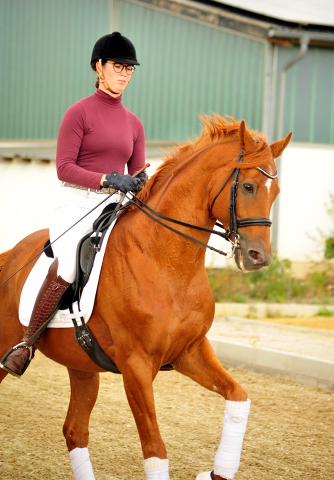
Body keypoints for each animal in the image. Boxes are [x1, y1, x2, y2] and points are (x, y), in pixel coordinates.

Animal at [0, 116, 290, 480]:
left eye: (275, 192)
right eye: (249, 187)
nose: (258, 257)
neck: (166, 261)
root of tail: (9, 255)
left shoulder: (190, 351)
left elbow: (239, 396)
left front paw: (217, 472)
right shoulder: (136, 366)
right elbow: (155, 451)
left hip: (81, 367)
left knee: (75, 430)